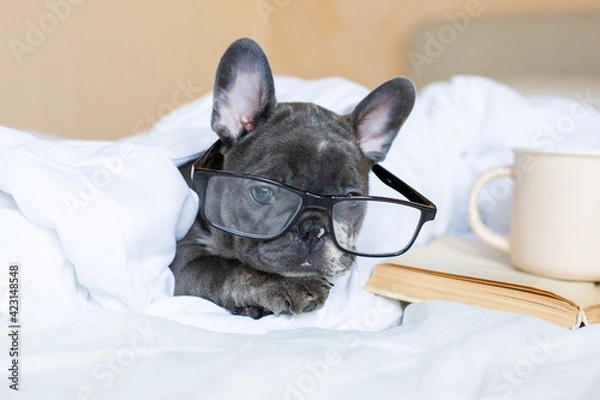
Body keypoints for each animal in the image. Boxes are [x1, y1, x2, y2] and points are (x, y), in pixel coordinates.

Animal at [168, 37, 412, 318]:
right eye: (262, 192)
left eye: (351, 199)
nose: (313, 229)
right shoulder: (183, 259)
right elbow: (221, 266)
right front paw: (287, 284)